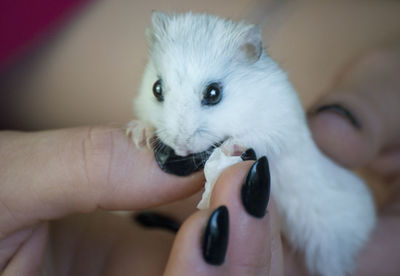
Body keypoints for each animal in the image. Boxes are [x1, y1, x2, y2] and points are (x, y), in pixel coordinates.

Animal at [128, 12, 376, 276]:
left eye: (213, 93)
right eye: (156, 89)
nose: (180, 148)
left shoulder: (277, 129)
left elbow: (253, 138)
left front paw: (228, 148)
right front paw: (138, 133)